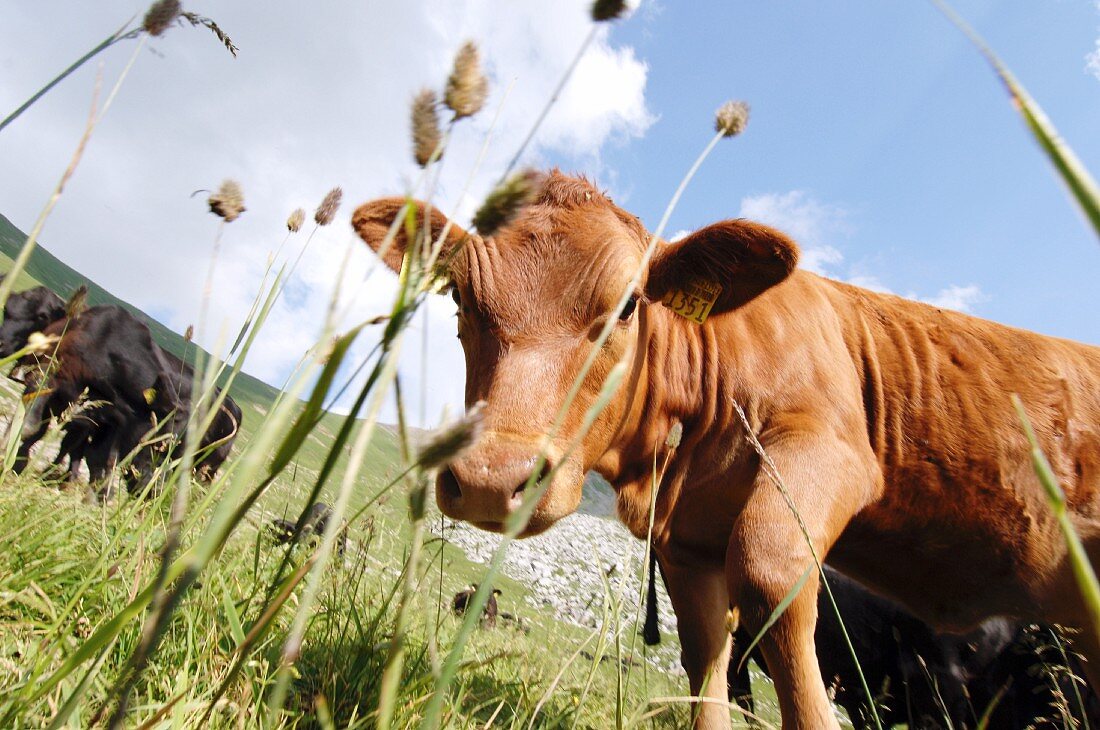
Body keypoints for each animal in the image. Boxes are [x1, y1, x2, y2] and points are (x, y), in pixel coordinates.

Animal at [354, 172, 1100, 729]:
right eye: (459, 296)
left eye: (629, 305)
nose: (490, 479)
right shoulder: (686, 540)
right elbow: (706, 655)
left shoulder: (827, 450)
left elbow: (771, 572)